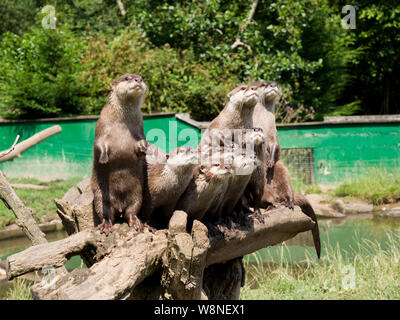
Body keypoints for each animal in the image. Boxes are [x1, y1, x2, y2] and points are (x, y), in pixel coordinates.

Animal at [91, 74, 149, 235]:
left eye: (141, 77)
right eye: (127, 77)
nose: (138, 80)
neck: (121, 125)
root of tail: (120, 206)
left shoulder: (139, 130)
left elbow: (142, 142)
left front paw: (145, 148)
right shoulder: (102, 128)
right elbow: (98, 145)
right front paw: (104, 158)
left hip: (137, 194)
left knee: (131, 211)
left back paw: (136, 223)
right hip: (101, 197)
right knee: (106, 213)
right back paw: (106, 226)